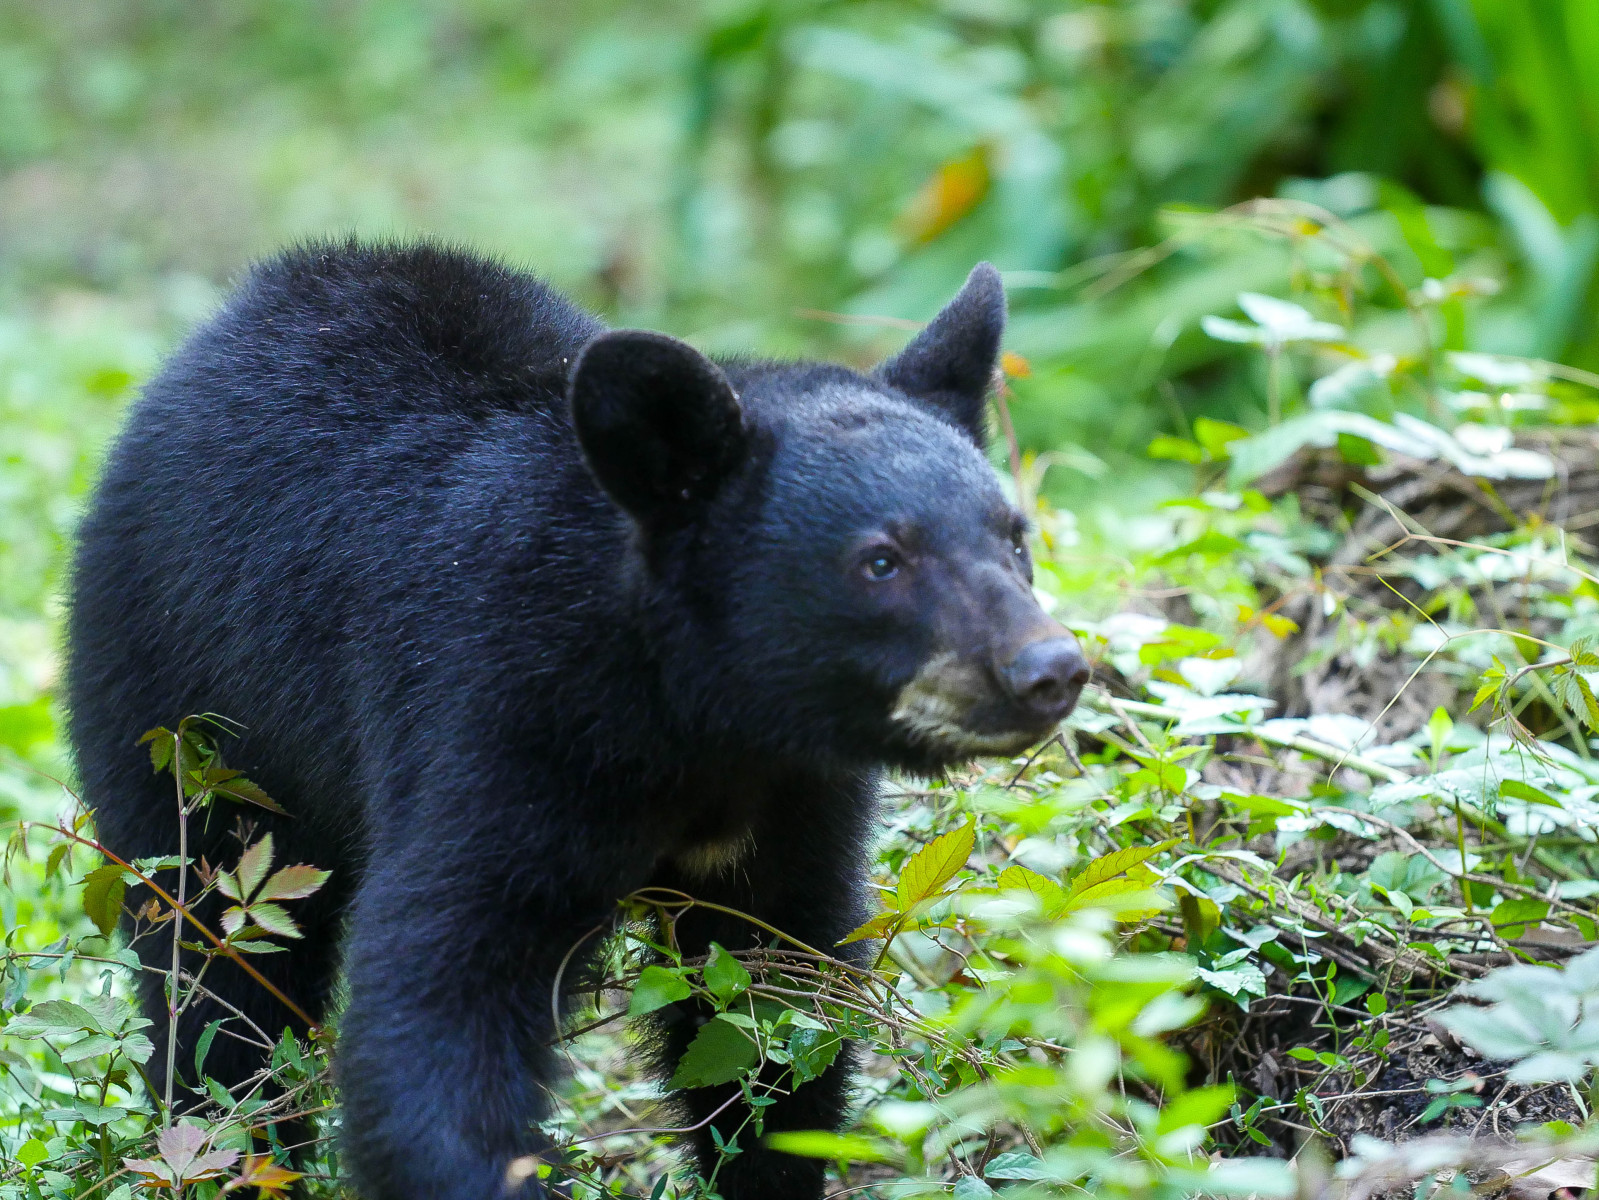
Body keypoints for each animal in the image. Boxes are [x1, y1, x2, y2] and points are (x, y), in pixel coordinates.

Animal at [65, 240, 1088, 1200]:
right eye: (880, 561)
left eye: (1014, 538)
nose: (1048, 670)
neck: (701, 720)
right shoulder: (503, 711)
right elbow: (441, 997)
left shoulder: (798, 797)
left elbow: (773, 1006)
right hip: (182, 707)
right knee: (213, 963)